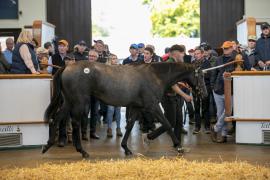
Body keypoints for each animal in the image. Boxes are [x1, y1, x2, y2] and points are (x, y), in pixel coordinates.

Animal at [41, 61, 207, 158]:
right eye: (200, 76)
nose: (204, 94)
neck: (155, 76)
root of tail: (67, 66)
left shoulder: (136, 107)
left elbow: (130, 125)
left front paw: (126, 148)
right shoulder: (152, 106)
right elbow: (167, 124)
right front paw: (179, 147)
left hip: (68, 101)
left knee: (55, 118)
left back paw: (47, 145)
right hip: (79, 102)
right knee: (75, 123)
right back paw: (82, 151)